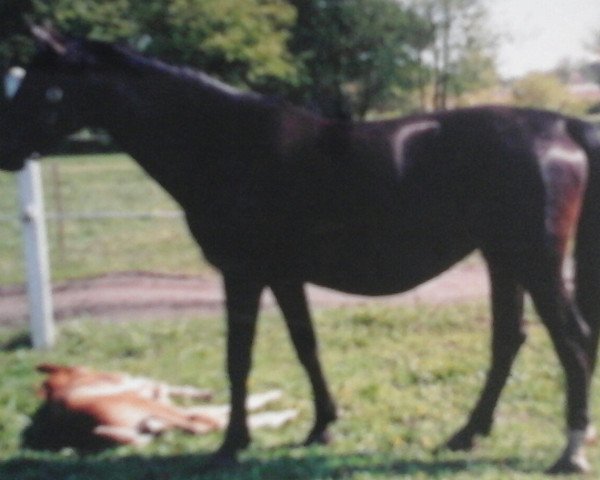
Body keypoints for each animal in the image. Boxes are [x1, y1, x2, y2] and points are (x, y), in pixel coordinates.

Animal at [1, 28, 600, 474]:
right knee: (509, 342)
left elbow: (238, 358)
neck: (222, 142)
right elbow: (305, 346)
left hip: (535, 263)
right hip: (504, 260)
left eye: (40, 86)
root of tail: (560, 123)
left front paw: (231, 445)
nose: (6, 150)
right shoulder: (283, 275)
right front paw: (321, 426)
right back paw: (467, 433)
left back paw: (568, 453)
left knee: (573, 343)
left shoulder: (242, 273)